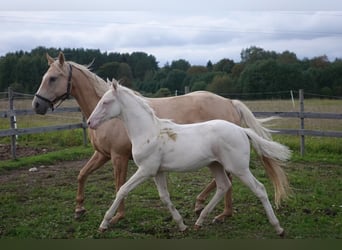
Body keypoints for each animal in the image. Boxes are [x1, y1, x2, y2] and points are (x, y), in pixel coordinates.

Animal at [32, 52, 272, 225]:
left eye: (53, 78)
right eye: (44, 77)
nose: (37, 105)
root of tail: (230, 102)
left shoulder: (118, 157)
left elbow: (119, 185)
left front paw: (116, 216)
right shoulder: (102, 155)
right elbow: (82, 175)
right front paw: (79, 208)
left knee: (230, 179)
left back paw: (218, 211)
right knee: (226, 181)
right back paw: (208, 207)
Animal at [87, 80, 290, 236]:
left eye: (106, 102)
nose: (89, 122)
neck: (149, 132)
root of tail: (241, 130)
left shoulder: (145, 170)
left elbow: (122, 190)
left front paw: (104, 224)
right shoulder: (158, 172)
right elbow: (164, 197)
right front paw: (181, 225)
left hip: (239, 168)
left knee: (259, 189)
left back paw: (278, 228)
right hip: (215, 165)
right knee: (223, 186)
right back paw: (199, 221)